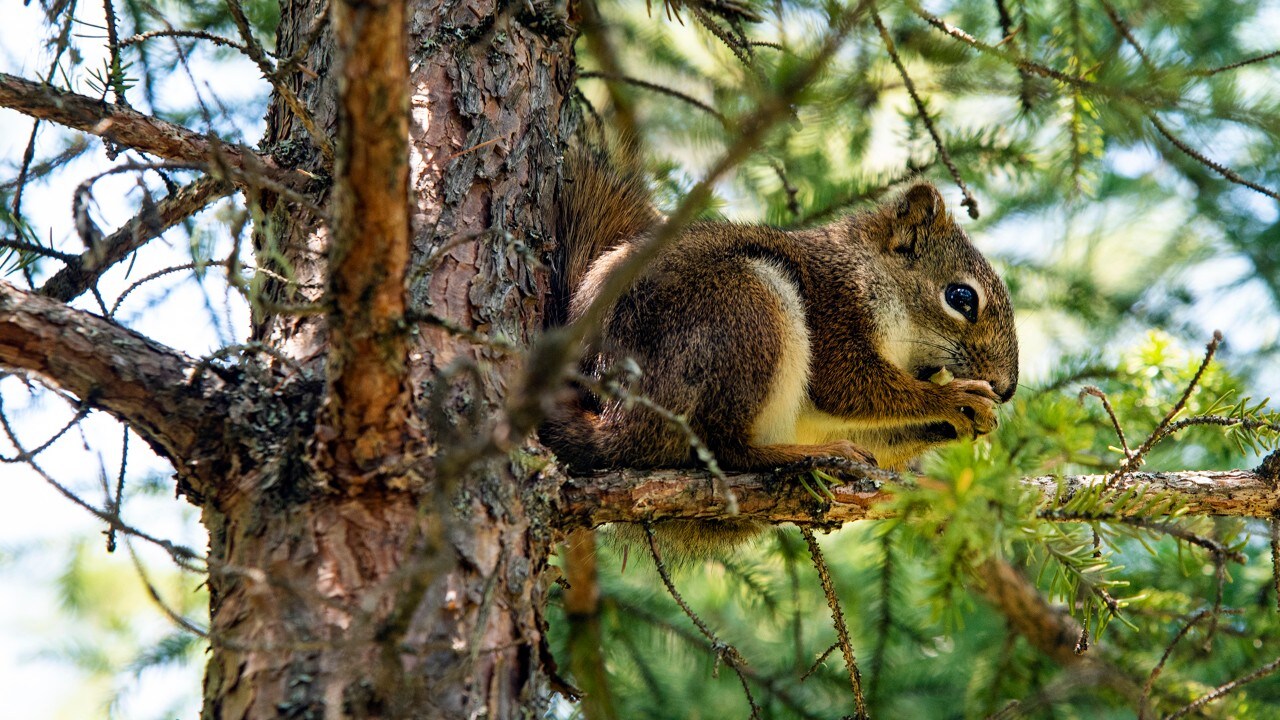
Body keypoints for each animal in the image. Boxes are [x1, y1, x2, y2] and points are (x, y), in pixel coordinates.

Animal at [542, 148, 1018, 558]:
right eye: (961, 297)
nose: (1007, 388)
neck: (865, 269)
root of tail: (619, 422)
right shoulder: (835, 311)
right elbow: (848, 386)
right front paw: (953, 398)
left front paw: (970, 422)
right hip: (745, 315)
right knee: (726, 448)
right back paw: (809, 459)